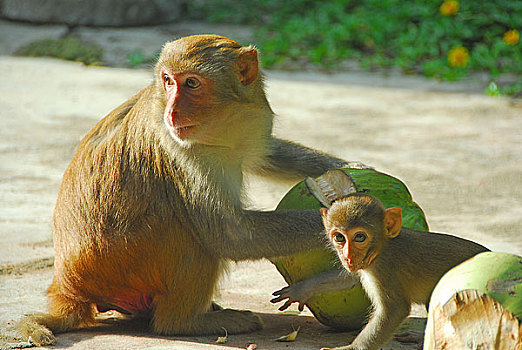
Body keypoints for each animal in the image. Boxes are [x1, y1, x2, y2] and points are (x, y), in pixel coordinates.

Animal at [20, 34, 366, 346]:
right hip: (124, 267)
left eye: (191, 84)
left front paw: (356, 165)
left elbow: (267, 155)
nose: (172, 112)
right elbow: (229, 235)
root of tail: (68, 286)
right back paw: (186, 322)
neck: (221, 124)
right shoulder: (181, 150)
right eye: (168, 81)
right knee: (192, 237)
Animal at [270, 193, 486, 348]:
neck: (382, 248)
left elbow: (395, 310)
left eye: (359, 237)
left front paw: (350, 349)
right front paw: (302, 289)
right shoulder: (365, 267)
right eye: (339, 237)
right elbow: (350, 278)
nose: (347, 256)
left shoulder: (385, 270)